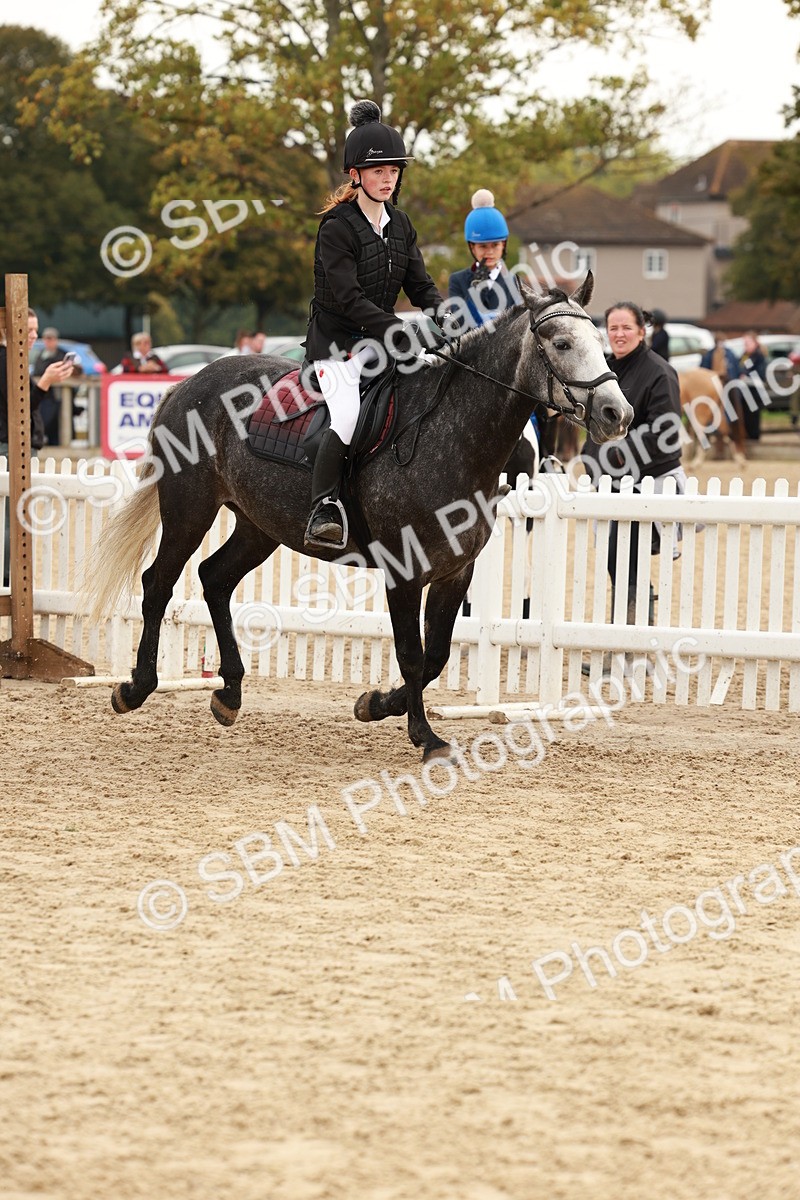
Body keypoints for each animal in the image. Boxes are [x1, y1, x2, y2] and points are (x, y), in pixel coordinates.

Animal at [87, 273, 632, 762]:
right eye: (561, 343)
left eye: (601, 344)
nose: (616, 414)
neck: (453, 435)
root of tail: (188, 383)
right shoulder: (404, 573)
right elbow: (412, 653)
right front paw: (425, 736)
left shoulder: (455, 572)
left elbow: (436, 655)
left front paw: (377, 704)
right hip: (189, 510)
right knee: (159, 583)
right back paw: (135, 687)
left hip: (258, 527)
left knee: (213, 578)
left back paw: (230, 693)